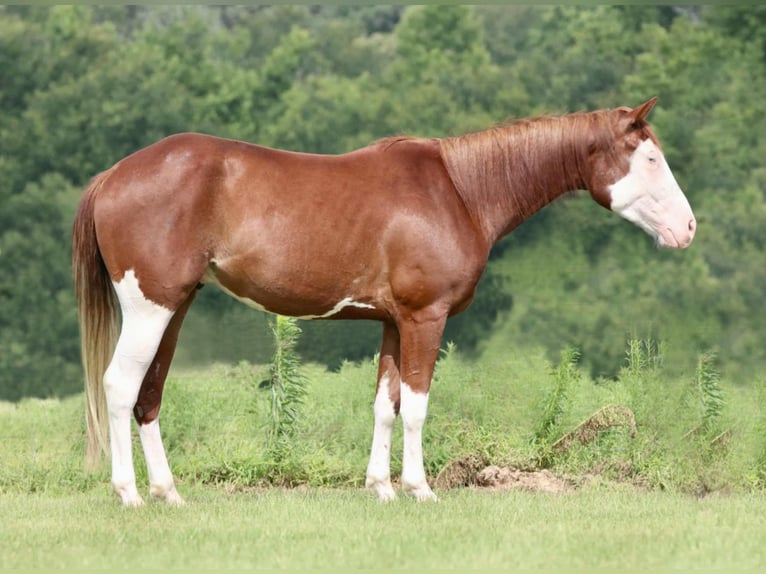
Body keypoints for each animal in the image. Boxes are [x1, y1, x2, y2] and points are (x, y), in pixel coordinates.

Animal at [72, 97, 695, 506]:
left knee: (149, 395)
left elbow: (384, 404)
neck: (461, 190)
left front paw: (380, 488)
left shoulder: (394, 323)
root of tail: (112, 176)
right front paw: (419, 489)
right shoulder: (425, 318)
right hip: (151, 309)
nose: (688, 228)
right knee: (120, 388)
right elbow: (416, 406)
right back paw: (129, 495)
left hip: (173, 310)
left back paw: (168, 493)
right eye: (650, 159)